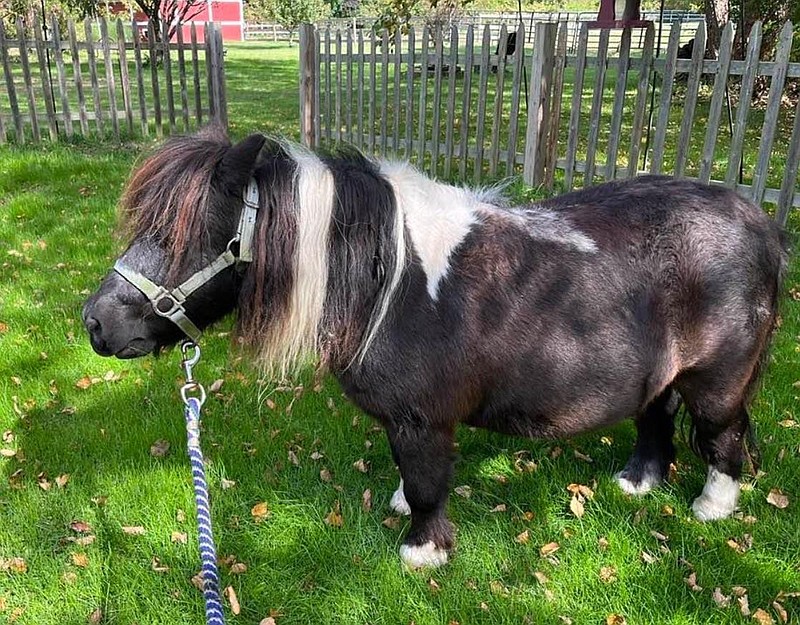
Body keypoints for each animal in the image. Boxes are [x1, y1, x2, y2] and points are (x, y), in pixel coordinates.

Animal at [83, 129, 788, 568]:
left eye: (187, 236)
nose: (96, 324)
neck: (390, 283)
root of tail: (758, 222)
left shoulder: (422, 420)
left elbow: (427, 484)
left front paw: (422, 551)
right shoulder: (407, 421)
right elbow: (411, 474)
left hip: (717, 379)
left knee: (723, 434)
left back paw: (713, 506)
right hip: (662, 374)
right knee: (655, 418)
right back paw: (638, 482)